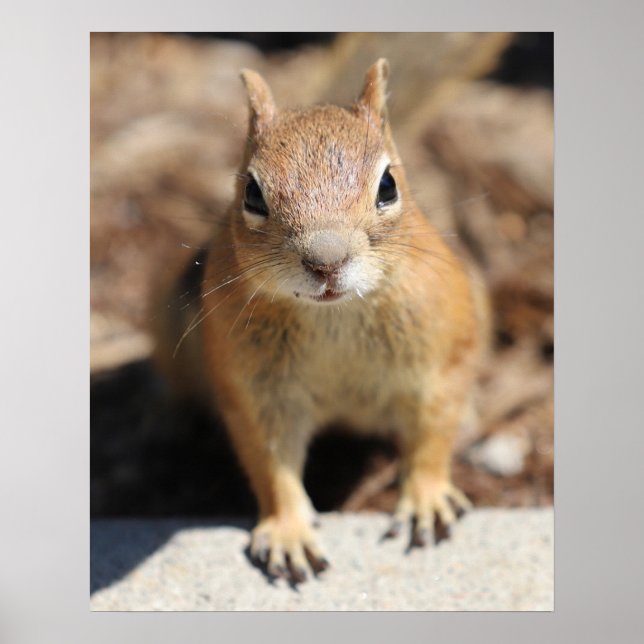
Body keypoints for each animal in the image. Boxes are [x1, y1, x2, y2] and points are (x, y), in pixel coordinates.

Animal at [153, 59, 489, 583]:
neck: (334, 315)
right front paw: (289, 532)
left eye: (388, 185)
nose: (326, 261)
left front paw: (426, 499)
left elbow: (433, 432)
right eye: (251, 193)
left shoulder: (441, 360)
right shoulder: (253, 389)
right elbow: (269, 460)